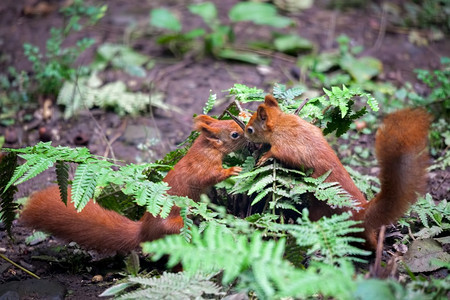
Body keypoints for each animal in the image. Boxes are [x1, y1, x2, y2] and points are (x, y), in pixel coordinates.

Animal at [20, 115, 246, 253]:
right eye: (235, 134)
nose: (247, 127)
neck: (205, 148)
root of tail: (144, 232)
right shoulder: (202, 168)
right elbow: (211, 176)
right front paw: (231, 171)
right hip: (174, 227)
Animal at [246, 94, 432, 248]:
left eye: (250, 129)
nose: (244, 135)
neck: (280, 122)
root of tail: (362, 213)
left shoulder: (288, 144)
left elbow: (279, 152)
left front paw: (264, 156)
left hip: (322, 211)